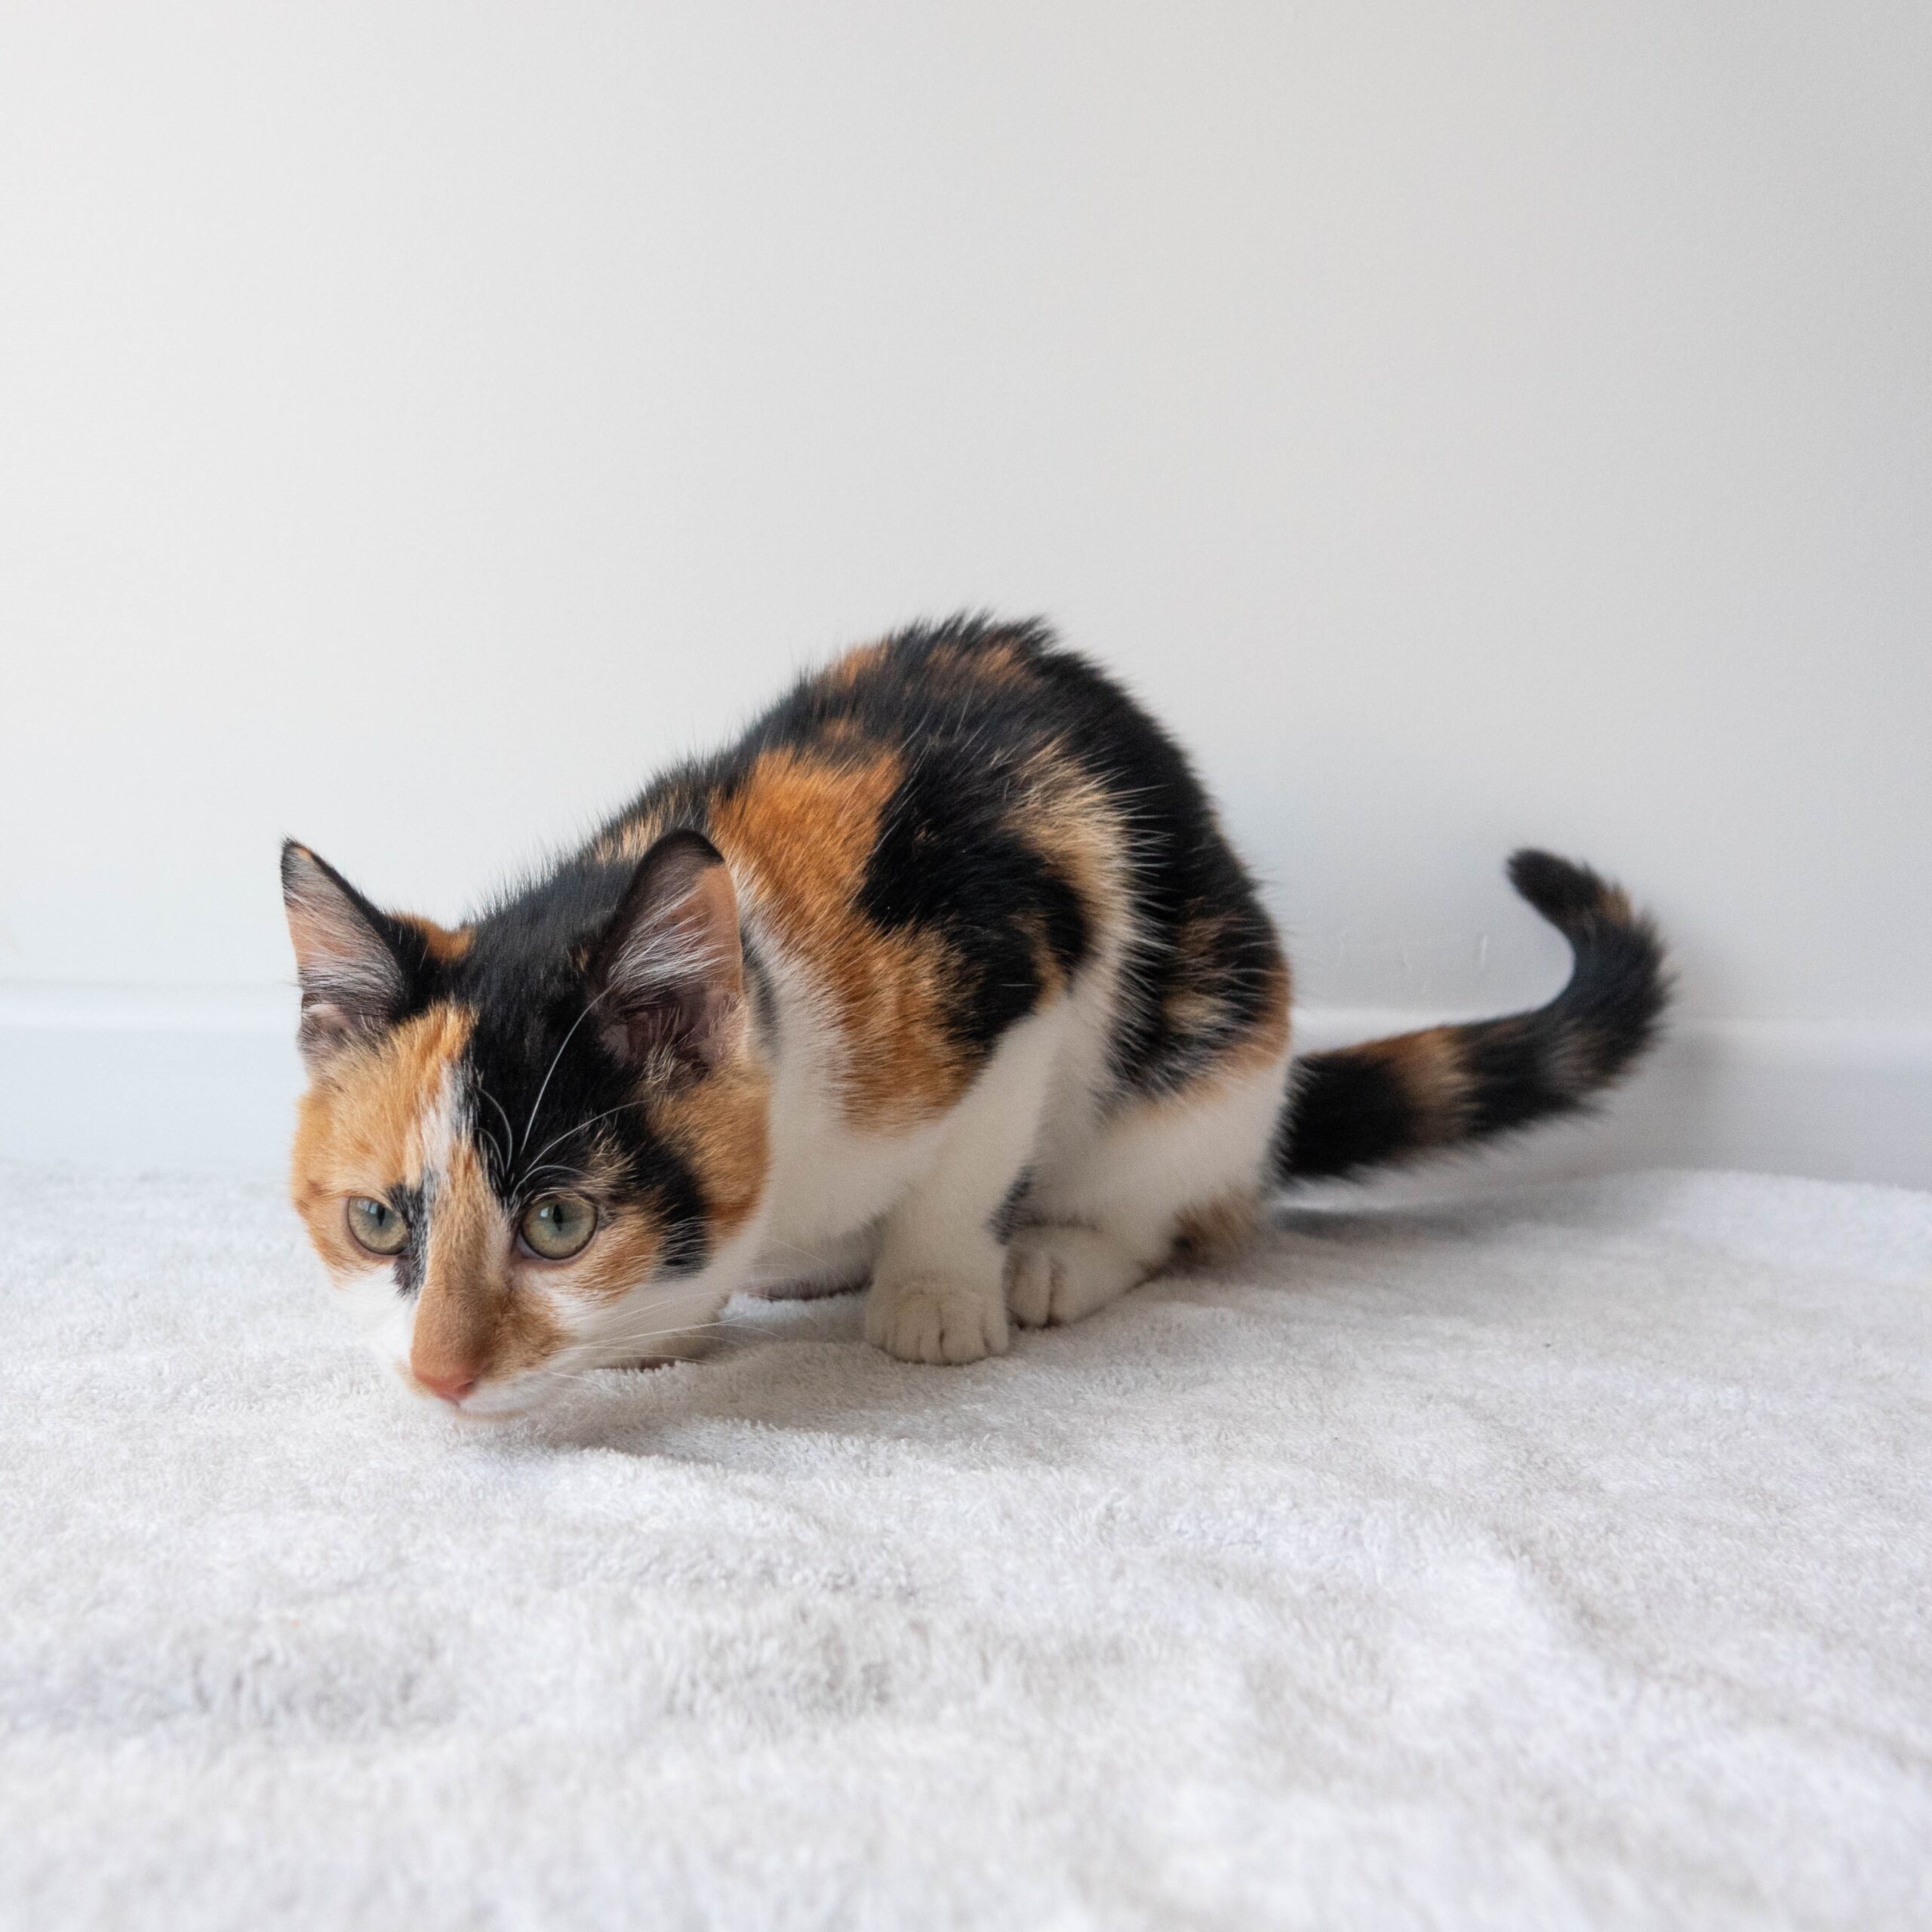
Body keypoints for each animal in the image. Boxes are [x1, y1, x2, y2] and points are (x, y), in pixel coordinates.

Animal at [283, 616, 1667, 1416]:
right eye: (375, 1221)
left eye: (560, 1224)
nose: (439, 1372)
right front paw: (665, 1326)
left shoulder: (1016, 972)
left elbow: (967, 1170)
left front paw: (940, 1293)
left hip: (1212, 1054)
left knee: (1178, 1205)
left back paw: (1055, 1256)